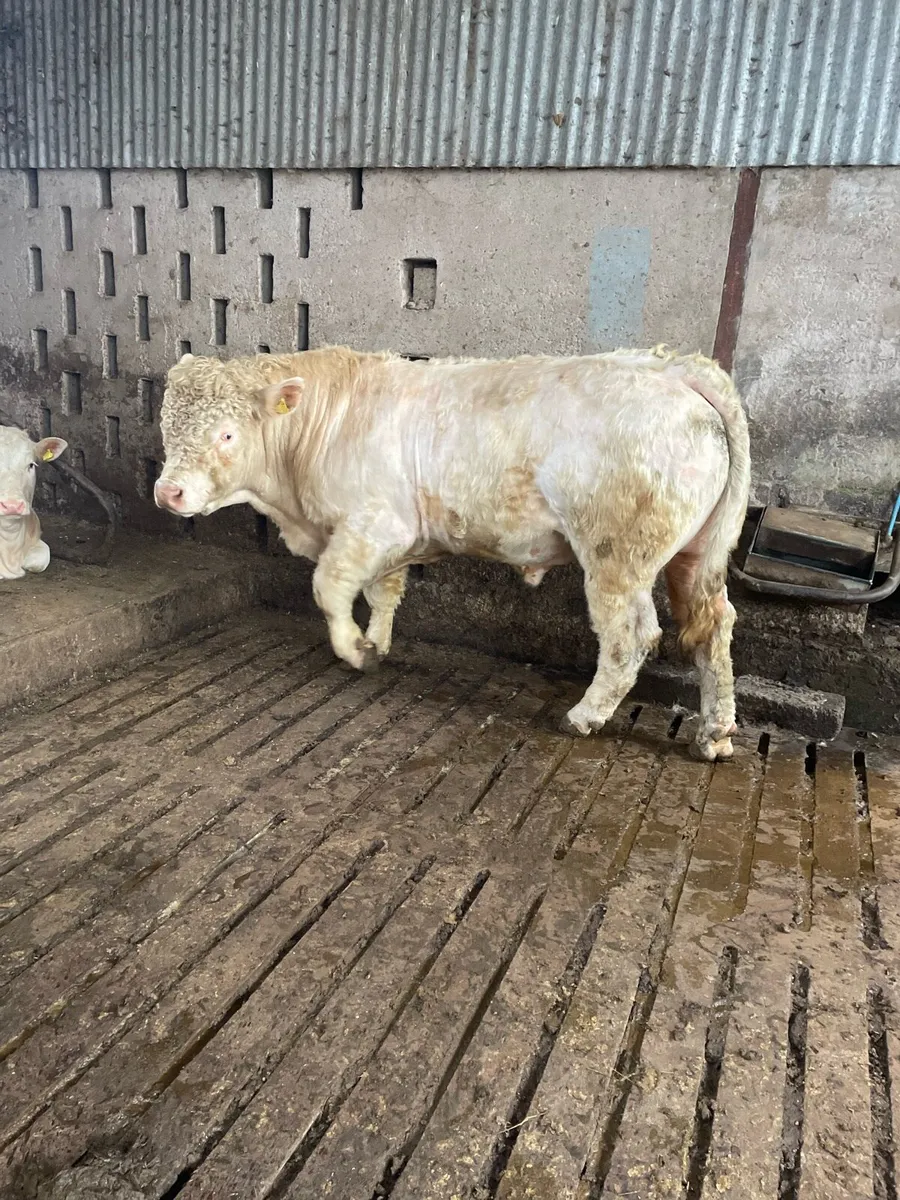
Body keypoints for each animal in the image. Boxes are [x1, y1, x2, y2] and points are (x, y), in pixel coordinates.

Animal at [155, 345, 750, 761]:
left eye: (227, 435)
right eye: (165, 427)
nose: (168, 492)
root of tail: (676, 370)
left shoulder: (374, 523)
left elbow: (329, 586)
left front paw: (355, 649)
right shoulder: (390, 540)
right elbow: (383, 591)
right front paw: (378, 641)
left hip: (616, 555)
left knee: (630, 636)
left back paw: (585, 715)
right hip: (696, 556)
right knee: (714, 626)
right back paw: (714, 734)